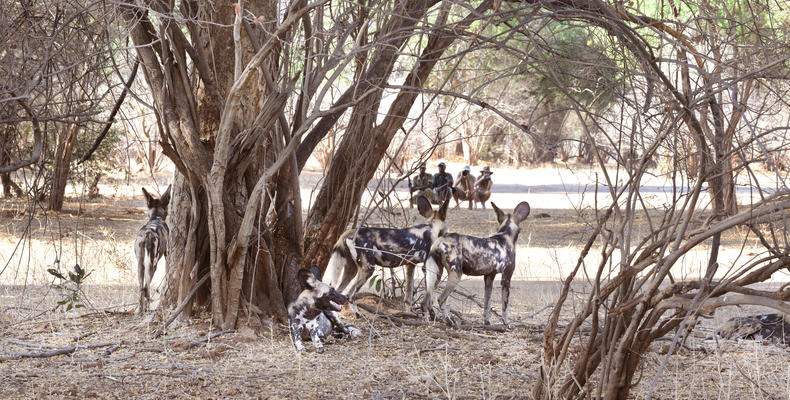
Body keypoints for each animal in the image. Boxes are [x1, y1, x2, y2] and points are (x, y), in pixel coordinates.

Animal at [134, 184, 171, 312]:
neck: (156, 217)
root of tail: (148, 234)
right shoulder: (167, 255)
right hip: (152, 265)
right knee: (147, 288)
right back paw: (147, 309)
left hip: (141, 265)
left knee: (142, 288)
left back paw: (140, 311)